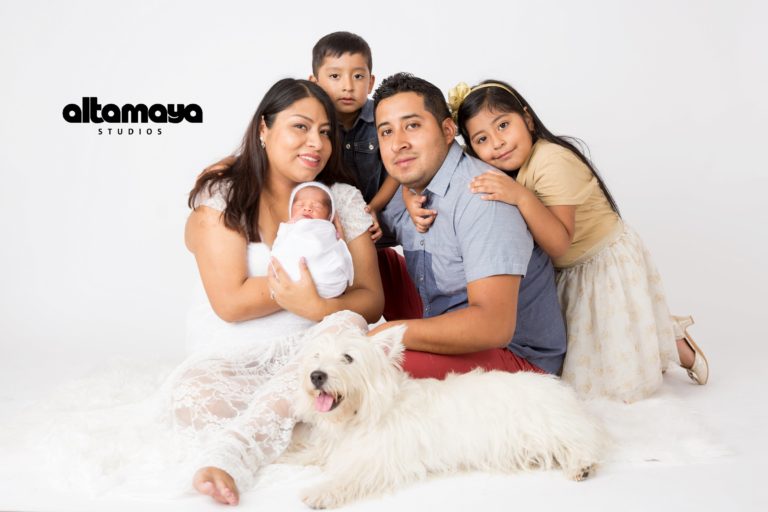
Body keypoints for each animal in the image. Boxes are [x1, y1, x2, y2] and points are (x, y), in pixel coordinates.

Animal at [286, 323, 605, 509]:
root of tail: (558, 388)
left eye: (348, 358)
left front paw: (319, 492)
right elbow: (314, 452)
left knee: (580, 443)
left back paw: (581, 466)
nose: (317, 375)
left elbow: (348, 476)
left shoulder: (381, 459)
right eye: (316, 357)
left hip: (549, 427)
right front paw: (290, 454)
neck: (362, 413)